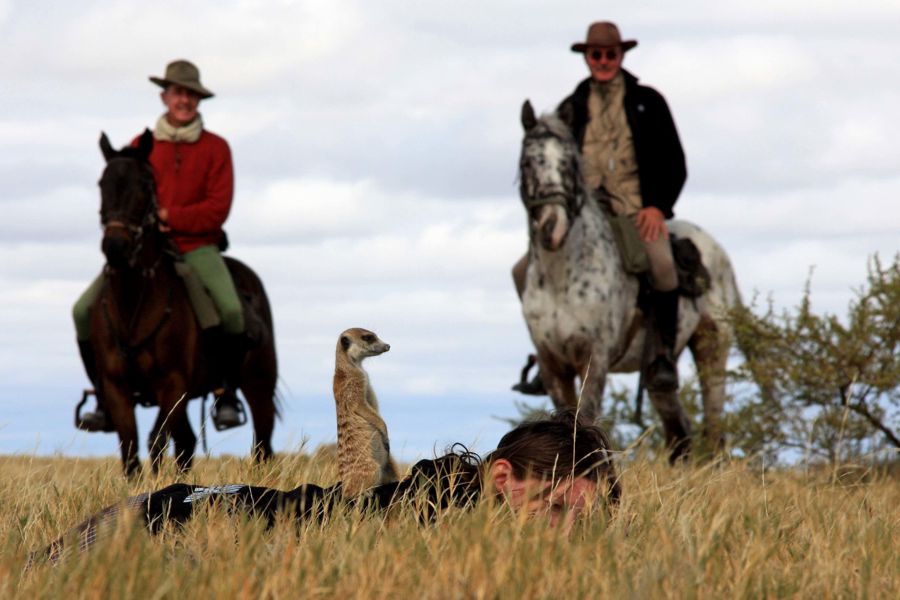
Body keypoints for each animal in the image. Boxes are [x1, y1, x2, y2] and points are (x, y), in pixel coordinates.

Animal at [516, 102, 740, 460]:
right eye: (527, 163)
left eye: (570, 164)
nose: (552, 227)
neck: (561, 277)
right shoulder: (553, 364)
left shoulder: (594, 358)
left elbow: (584, 417)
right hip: (659, 375)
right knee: (679, 431)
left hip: (712, 346)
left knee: (714, 424)